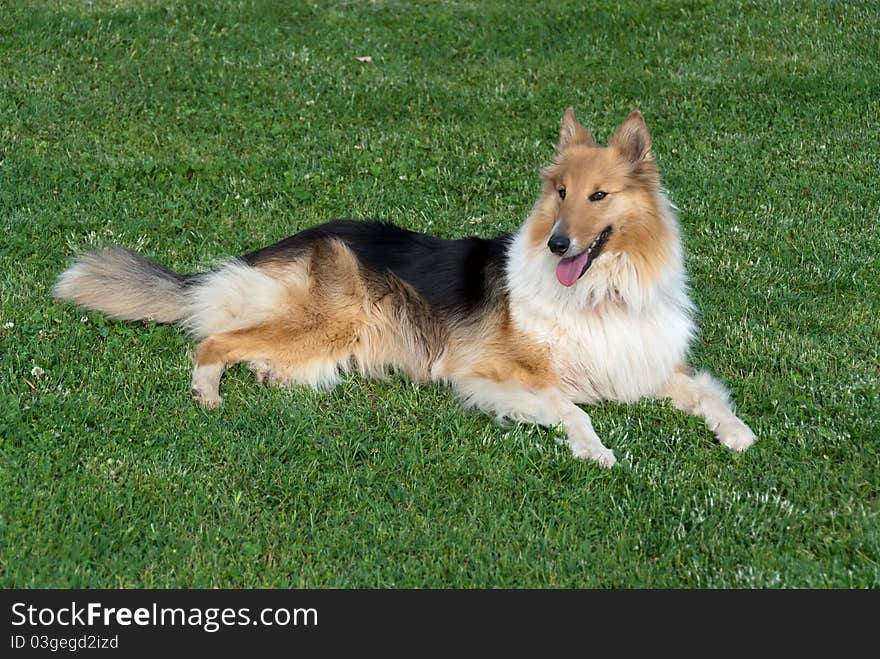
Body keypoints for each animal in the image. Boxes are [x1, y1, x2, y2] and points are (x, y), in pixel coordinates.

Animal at [55, 108, 756, 466]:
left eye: (599, 196)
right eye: (560, 193)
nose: (558, 244)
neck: (599, 293)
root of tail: (270, 249)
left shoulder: (646, 365)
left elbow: (706, 393)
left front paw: (738, 435)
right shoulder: (493, 374)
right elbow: (571, 408)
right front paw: (596, 451)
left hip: (332, 342)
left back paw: (264, 375)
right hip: (331, 318)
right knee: (211, 342)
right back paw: (208, 394)